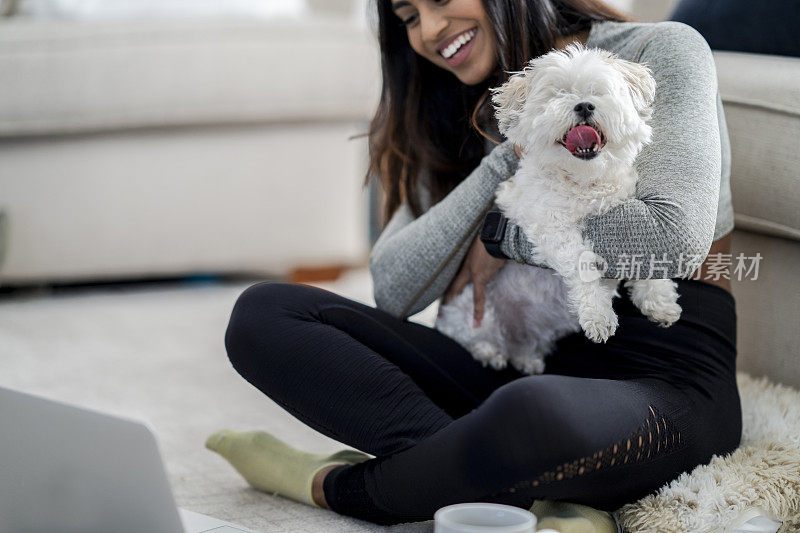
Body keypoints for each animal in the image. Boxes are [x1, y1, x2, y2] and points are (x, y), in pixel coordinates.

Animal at [438, 44, 680, 374]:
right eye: (558, 94)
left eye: (597, 91)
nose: (584, 106)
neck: (585, 182)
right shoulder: (550, 226)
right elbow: (582, 264)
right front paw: (598, 314)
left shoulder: (633, 216)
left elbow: (647, 257)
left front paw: (660, 300)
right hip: (473, 311)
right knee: (471, 335)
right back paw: (490, 352)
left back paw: (526, 358)